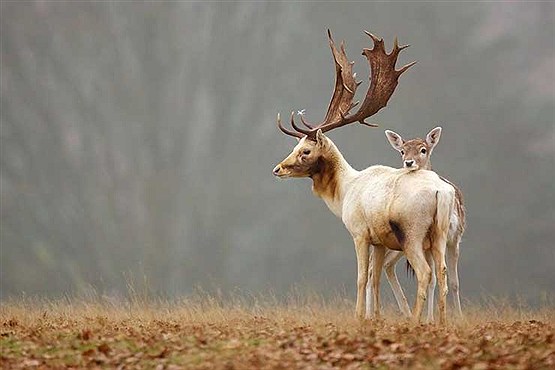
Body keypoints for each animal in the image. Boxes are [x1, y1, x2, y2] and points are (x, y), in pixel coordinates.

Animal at [272, 29, 456, 324]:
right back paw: (440, 322)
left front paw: (359, 316)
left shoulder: (359, 233)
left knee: (425, 273)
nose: (277, 168)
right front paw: (375, 317)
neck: (345, 192)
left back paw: (415, 321)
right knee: (443, 273)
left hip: (412, 232)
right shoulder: (379, 241)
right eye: (295, 146)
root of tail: (442, 192)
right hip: (439, 233)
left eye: (305, 151)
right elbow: (375, 278)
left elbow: (361, 278)